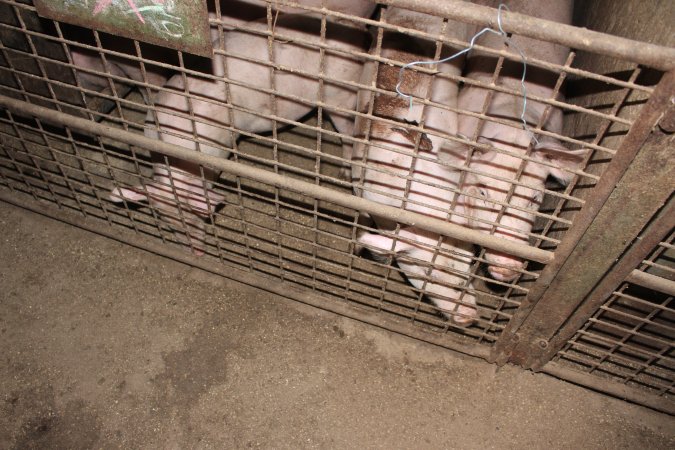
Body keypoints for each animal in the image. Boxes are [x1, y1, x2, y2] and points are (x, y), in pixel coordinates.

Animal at [110, 14, 370, 253]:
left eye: (192, 216)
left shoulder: (219, 148)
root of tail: (356, 33)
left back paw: (344, 173)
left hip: (341, 96)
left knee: (349, 135)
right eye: (167, 220)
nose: (196, 252)